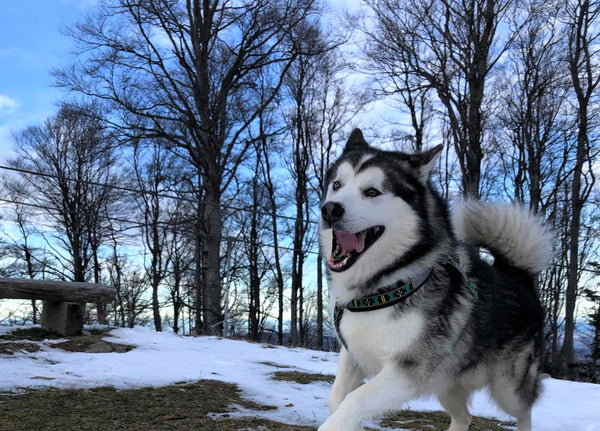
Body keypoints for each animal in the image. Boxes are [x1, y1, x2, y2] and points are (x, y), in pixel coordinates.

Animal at [322, 129, 552, 431]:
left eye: (372, 192)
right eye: (337, 185)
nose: (329, 210)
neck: (383, 284)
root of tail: (518, 276)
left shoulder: (407, 371)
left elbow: (354, 400)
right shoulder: (353, 354)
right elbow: (337, 398)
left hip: (508, 387)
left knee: (524, 412)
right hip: (446, 382)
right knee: (464, 416)